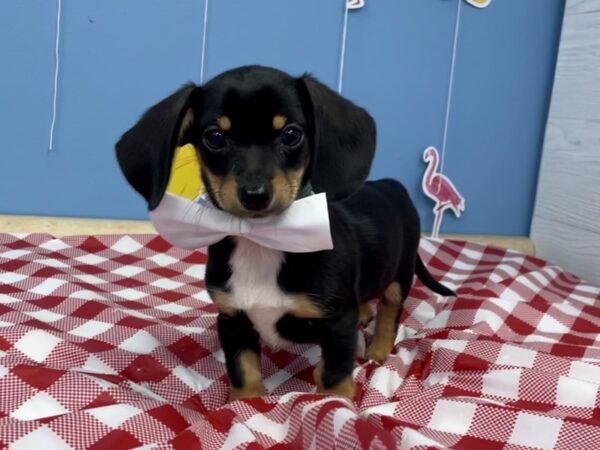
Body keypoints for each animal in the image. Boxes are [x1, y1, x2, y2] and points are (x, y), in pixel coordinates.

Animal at [116, 65, 454, 400]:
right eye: (214, 137)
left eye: (291, 134)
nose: (255, 195)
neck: (262, 240)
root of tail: (391, 185)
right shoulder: (232, 319)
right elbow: (243, 371)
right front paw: (244, 405)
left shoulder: (337, 323)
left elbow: (333, 375)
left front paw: (336, 405)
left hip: (401, 273)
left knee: (390, 311)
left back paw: (378, 351)